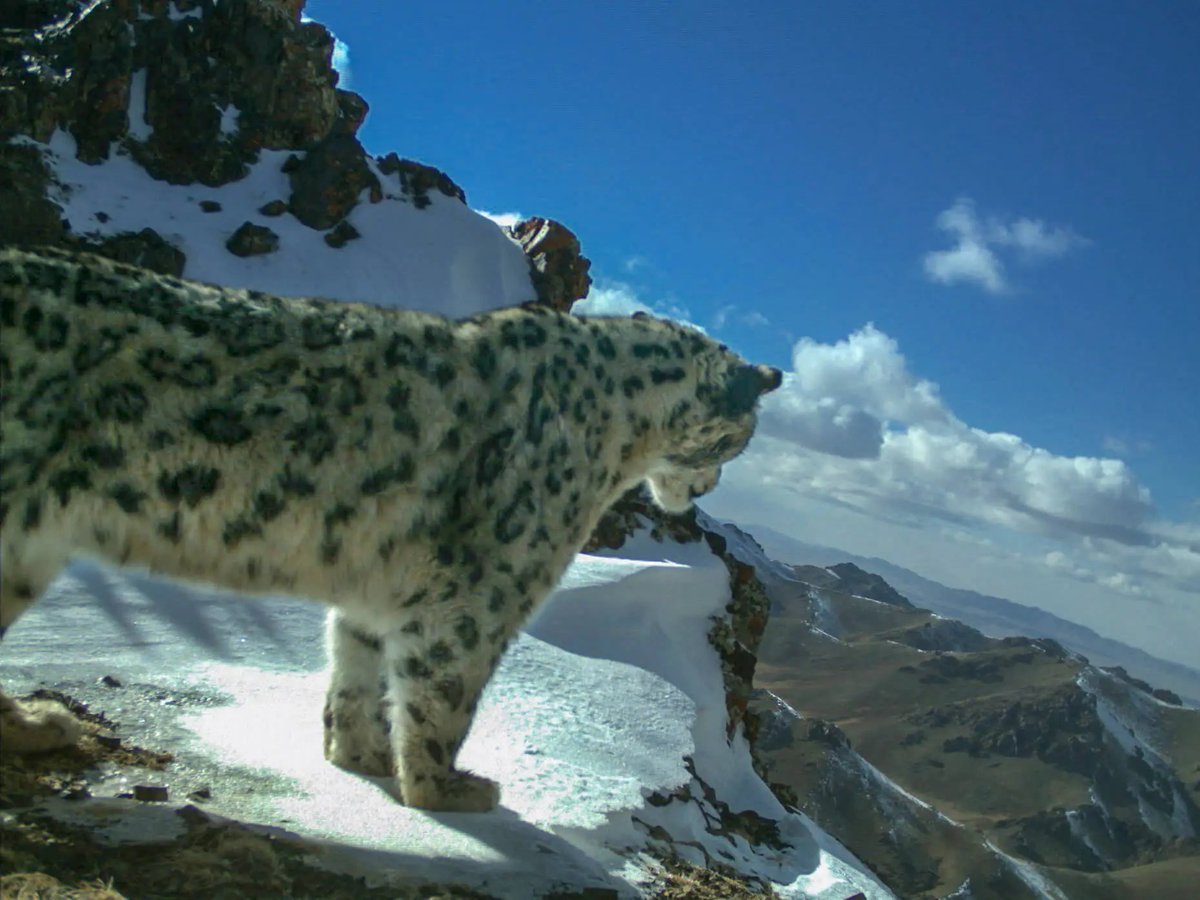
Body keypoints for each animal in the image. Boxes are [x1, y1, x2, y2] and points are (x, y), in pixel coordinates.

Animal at [0, 245, 781, 811]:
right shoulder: (480, 593)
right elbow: (447, 694)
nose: (708, 488)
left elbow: (357, 671)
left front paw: (359, 755)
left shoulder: (380, 587)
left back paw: (36, 723)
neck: (617, 434)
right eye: (737, 440)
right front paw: (444, 789)